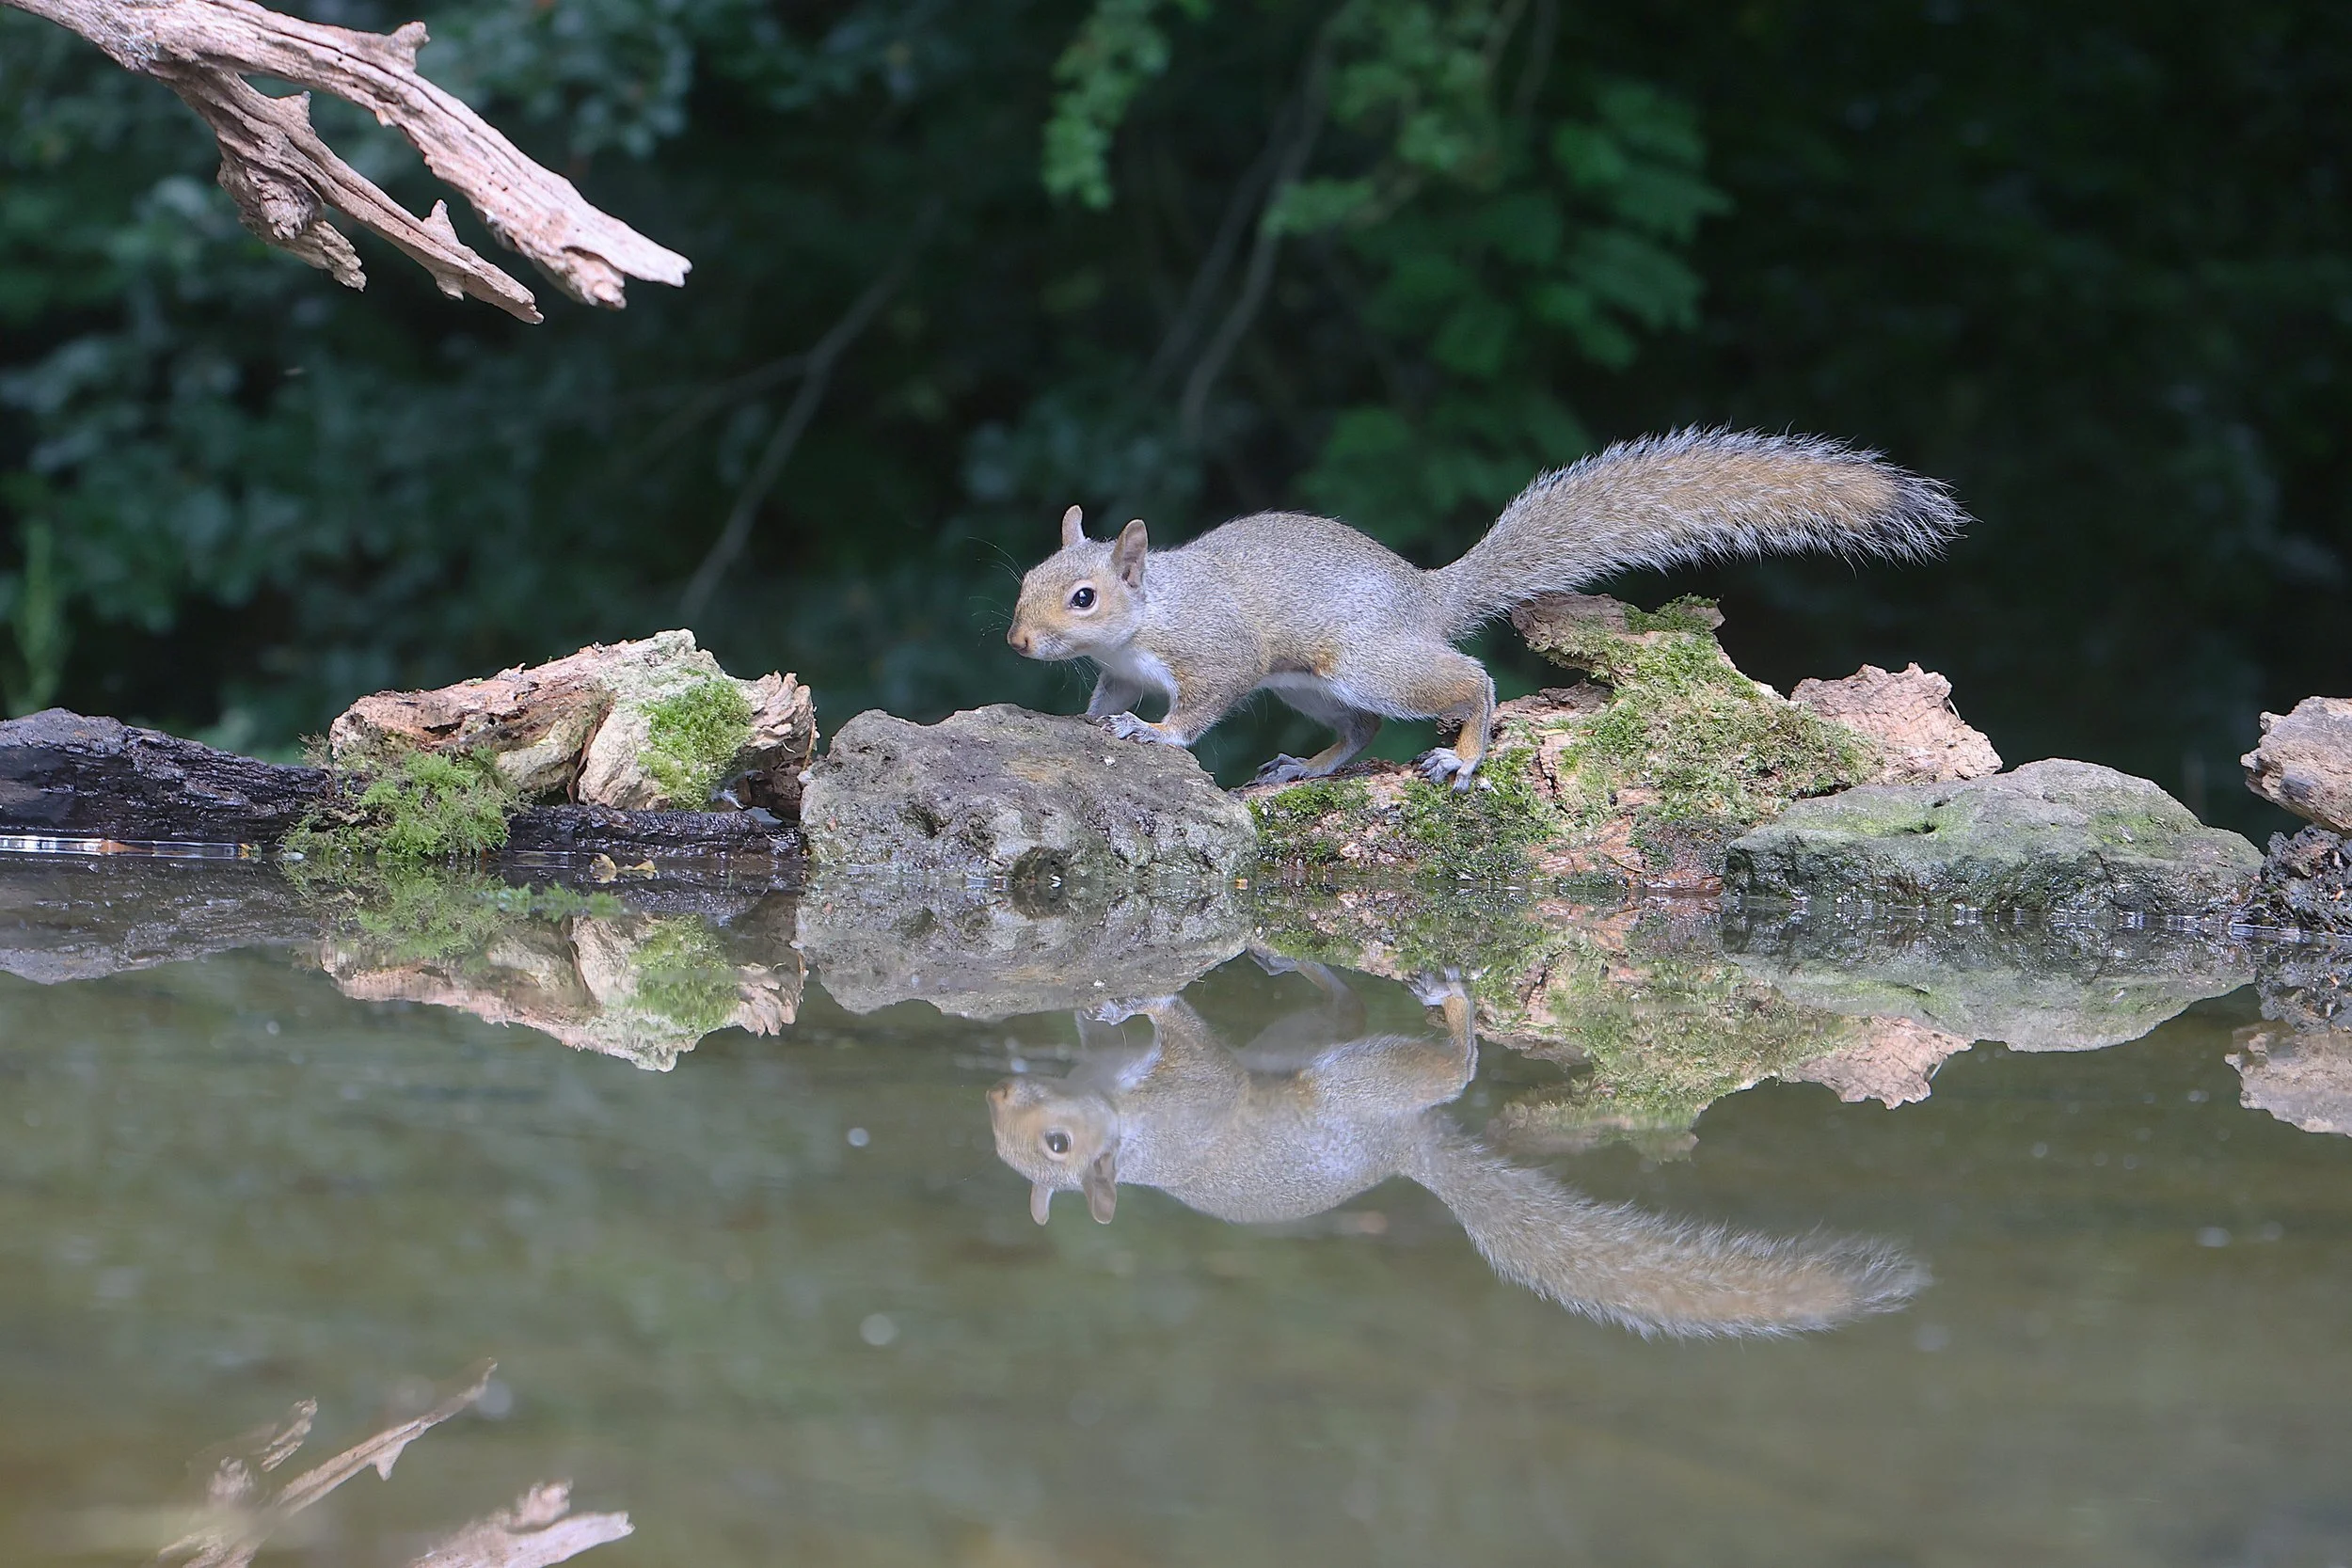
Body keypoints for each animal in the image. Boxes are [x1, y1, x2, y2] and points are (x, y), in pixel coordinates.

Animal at [986, 953, 1926, 1338]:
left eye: (1057, 1143)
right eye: (1003, 1138)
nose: (996, 1092)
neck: (1123, 1112)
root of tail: (1403, 1146)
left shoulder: (1191, 1096)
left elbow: (1184, 1040)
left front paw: (1139, 996)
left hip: (1348, 1083)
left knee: (1450, 1064)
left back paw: (1448, 1002)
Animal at [1006, 427, 1963, 788]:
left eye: (1083, 596)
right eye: (1027, 580)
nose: (1016, 642)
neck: (1149, 613)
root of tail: (1427, 595)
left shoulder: (1214, 653)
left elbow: (1197, 707)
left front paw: (1153, 736)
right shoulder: (1121, 669)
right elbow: (1106, 698)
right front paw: (1091, 723)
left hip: (1362, 659)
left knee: (1467, 680)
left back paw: (1463, 752)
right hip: (1315, 685)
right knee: (1360, 730)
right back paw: (1308, 766)